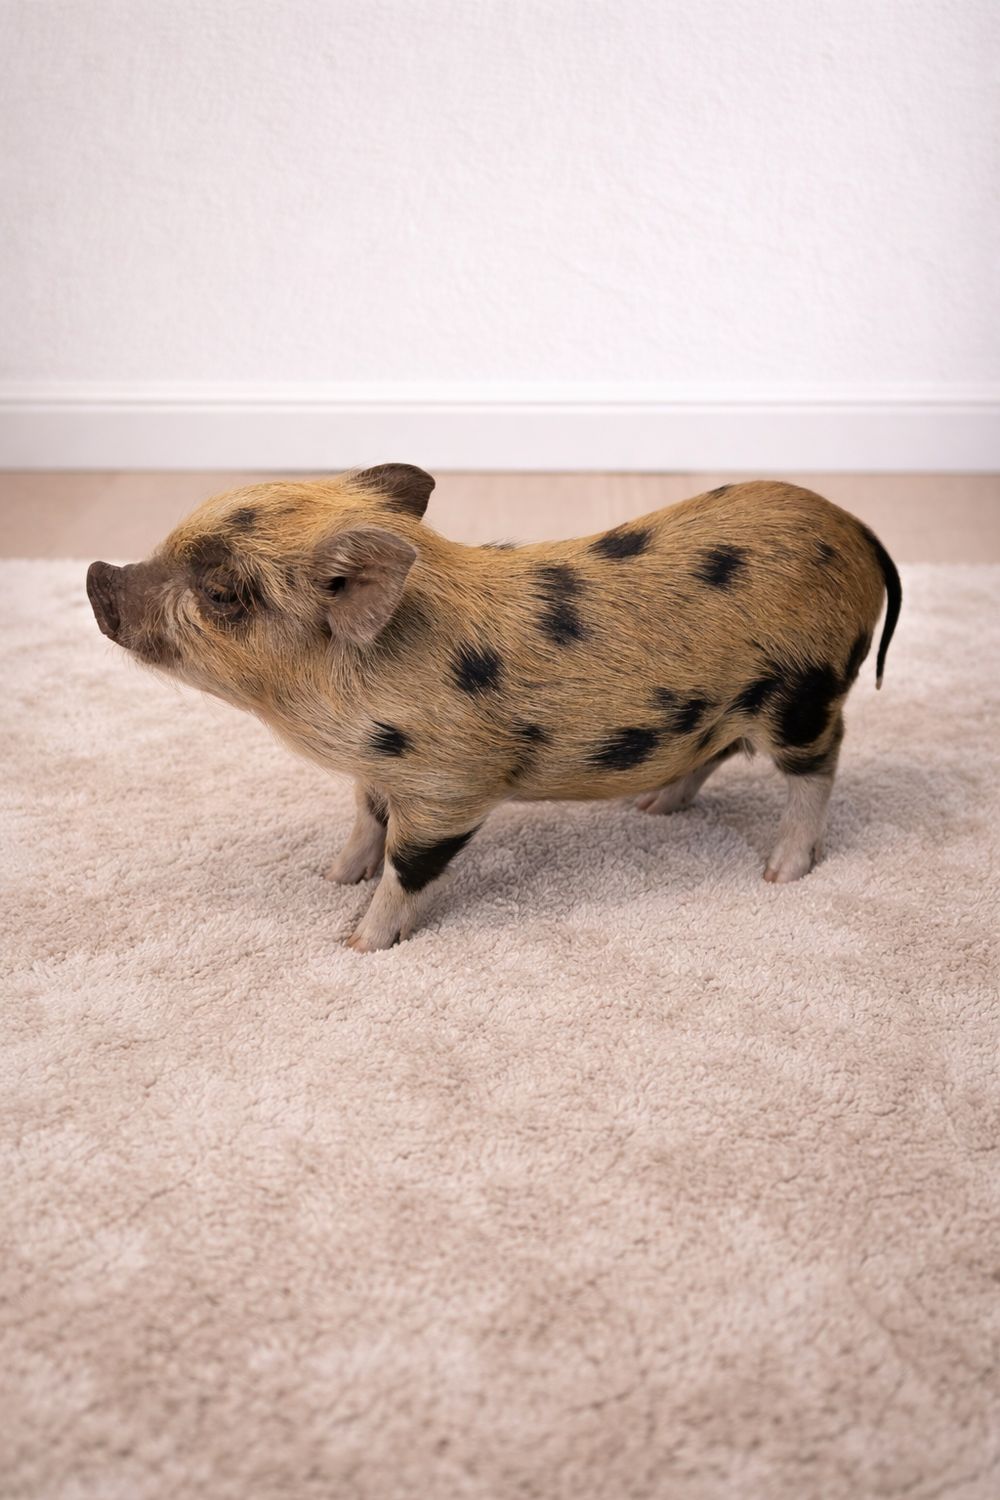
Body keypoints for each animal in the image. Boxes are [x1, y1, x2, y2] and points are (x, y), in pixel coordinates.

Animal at [86, 466, 901, 951]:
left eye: (222, 592)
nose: (97, 575)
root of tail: (860, 532)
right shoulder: (378, 772)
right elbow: (364, 822)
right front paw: (329, 878)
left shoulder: (449, 784)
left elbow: (408, 867)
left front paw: (354, 942)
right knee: (722, 749)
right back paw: (653, 809)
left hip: (805, 689)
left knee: (821, 762)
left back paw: (779, 874)